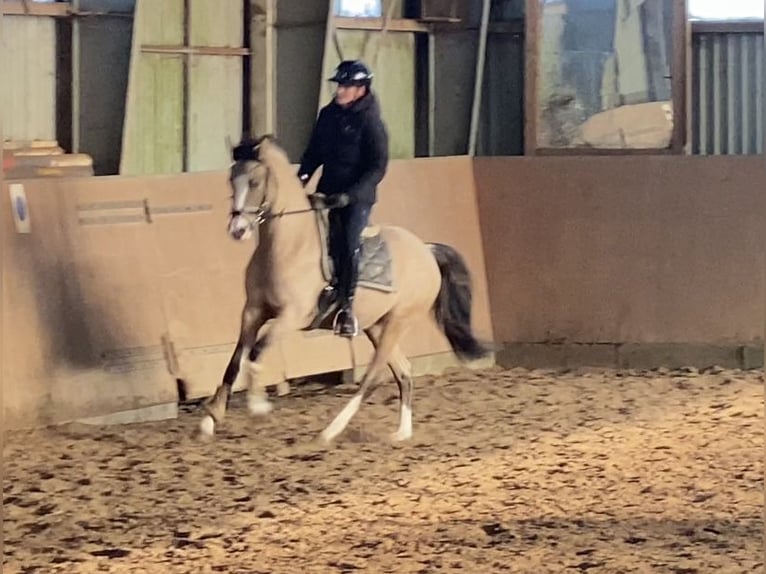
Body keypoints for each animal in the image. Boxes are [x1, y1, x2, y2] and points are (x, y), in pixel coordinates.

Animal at [200, 136, 492, 446]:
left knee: (374, 376)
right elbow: (234, 362)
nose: (238, 229)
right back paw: (402, 432)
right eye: (231, 180)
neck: (290, 245)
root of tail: (427, 249)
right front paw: (210, 420)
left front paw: (258, 406)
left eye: (255, 181)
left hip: (399, 322)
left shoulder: (291, 316)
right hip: (376, 325)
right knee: (403, 371)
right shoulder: (253, 311)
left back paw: (330, 431)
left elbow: (255, 354)